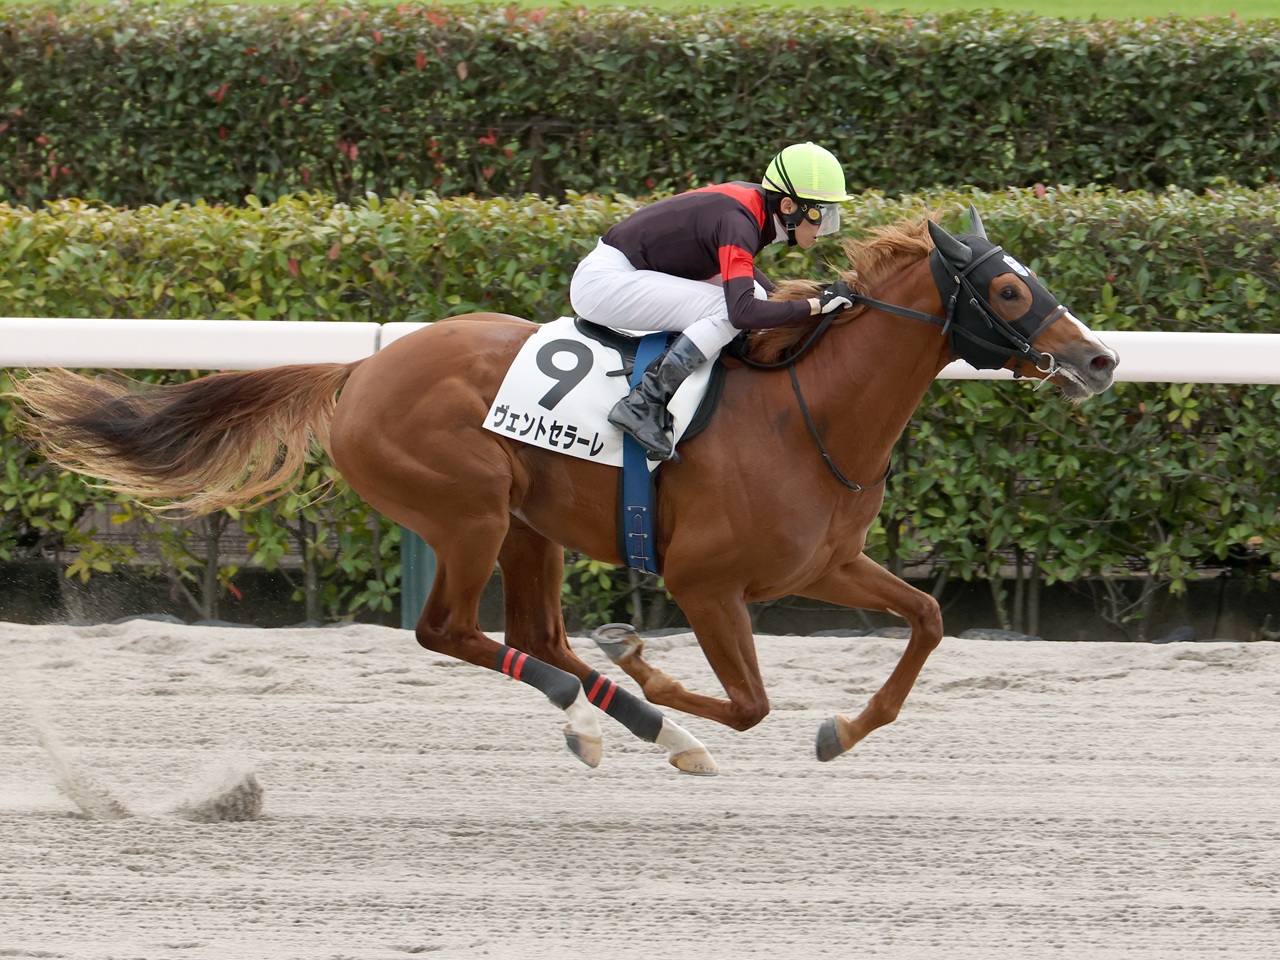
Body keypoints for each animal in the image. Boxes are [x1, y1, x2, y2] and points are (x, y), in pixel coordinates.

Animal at [9, 208, 1119, 776]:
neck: (811, 410)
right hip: (466, 511)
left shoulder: (826, 564)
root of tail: (362, 370)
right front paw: (658, 676)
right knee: (452, 632)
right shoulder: (706, 583)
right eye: (1008, 289)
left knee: (535, 632)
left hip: (527, 521)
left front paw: (841, 729)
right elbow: (749, 702)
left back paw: (613, 719)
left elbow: (926, 617)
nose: (1100, 360)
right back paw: (619, 711)